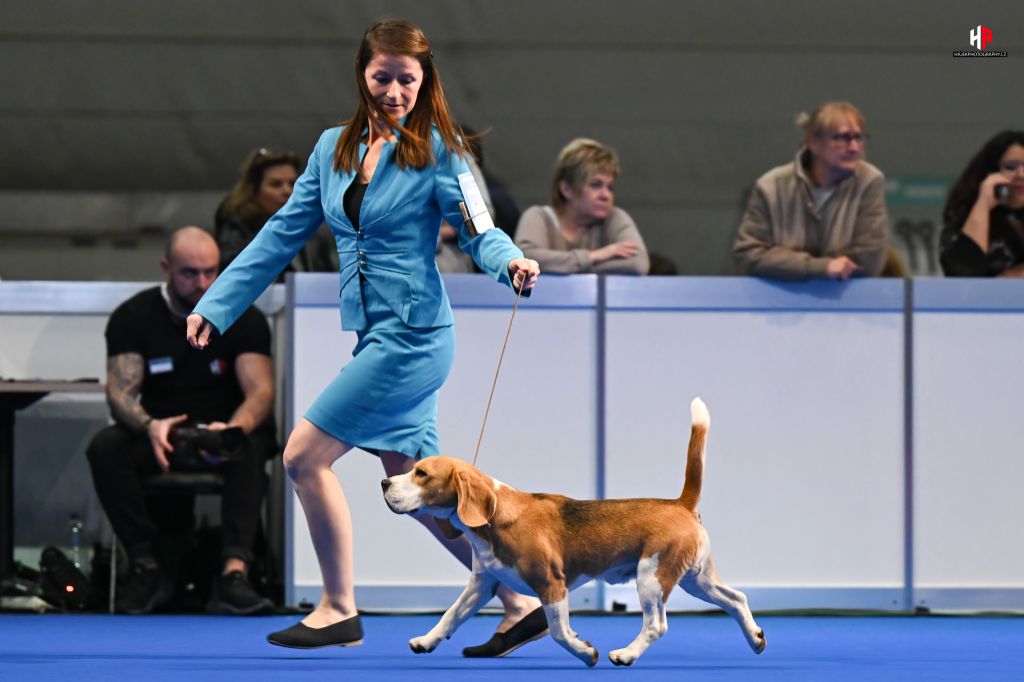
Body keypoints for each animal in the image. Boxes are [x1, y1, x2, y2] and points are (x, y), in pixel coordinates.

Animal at [380, 395, 765, 667]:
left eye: (422, 474)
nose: (384, 482)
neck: (496, 514)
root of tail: (680, 503)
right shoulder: (482, 583)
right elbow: (451, 615)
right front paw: (426, 640)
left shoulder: (552, 585)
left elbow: (558, 632)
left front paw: (585, 652)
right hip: (694, 579)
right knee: (736, 599)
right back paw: (756, 638)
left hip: (652, 577)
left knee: (657, 624)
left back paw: (625, 654)